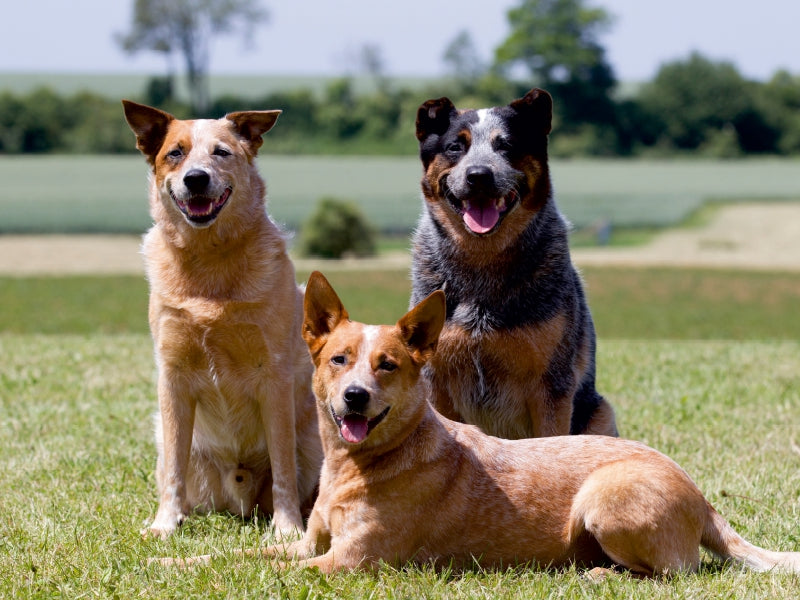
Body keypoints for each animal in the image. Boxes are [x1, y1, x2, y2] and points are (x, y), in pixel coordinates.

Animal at [121, 102, 318, 540]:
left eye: (222, 152)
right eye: (175, 153)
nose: (196, 178)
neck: (209, 260)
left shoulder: (273, 375)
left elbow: (283, 465)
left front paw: (288, 529)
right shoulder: (173, 376)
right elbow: (173, 471)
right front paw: (164, 524)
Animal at [256, 270, 800, 576]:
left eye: (387, 364)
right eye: (339, 359)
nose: (355, 396)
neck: (355, 465)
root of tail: (704, 500)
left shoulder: (352, 561)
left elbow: (292, 576)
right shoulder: (309, 543)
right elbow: (250, 557)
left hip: (605, 498)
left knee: (676, 574)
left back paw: (603, 576)